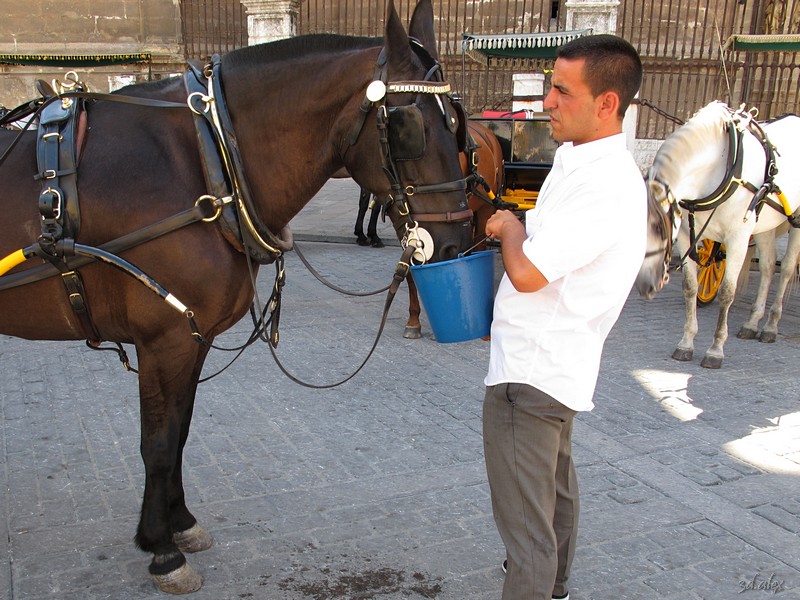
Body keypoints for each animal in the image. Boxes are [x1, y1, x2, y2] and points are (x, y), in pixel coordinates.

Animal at [0, 0, 476, 592]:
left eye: (457, 124)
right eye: (410, 125)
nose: (457, 243)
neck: (209, 158)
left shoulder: (192, 338)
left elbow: (180, 431)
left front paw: (179, 523)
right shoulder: (164, 339)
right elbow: (158, 442)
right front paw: (161, 550)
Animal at [636, 101, 800, 368]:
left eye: (659, 229)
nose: (645, 286)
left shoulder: (738, 238)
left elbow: (726, 292)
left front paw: (715, 349)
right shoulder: (686, 237)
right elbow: (690, 287)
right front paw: (686, 343)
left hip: (795, 222)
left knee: (785, 268)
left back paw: (771, 326)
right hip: (764, 225)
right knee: (767, 267)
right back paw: (752, 323)